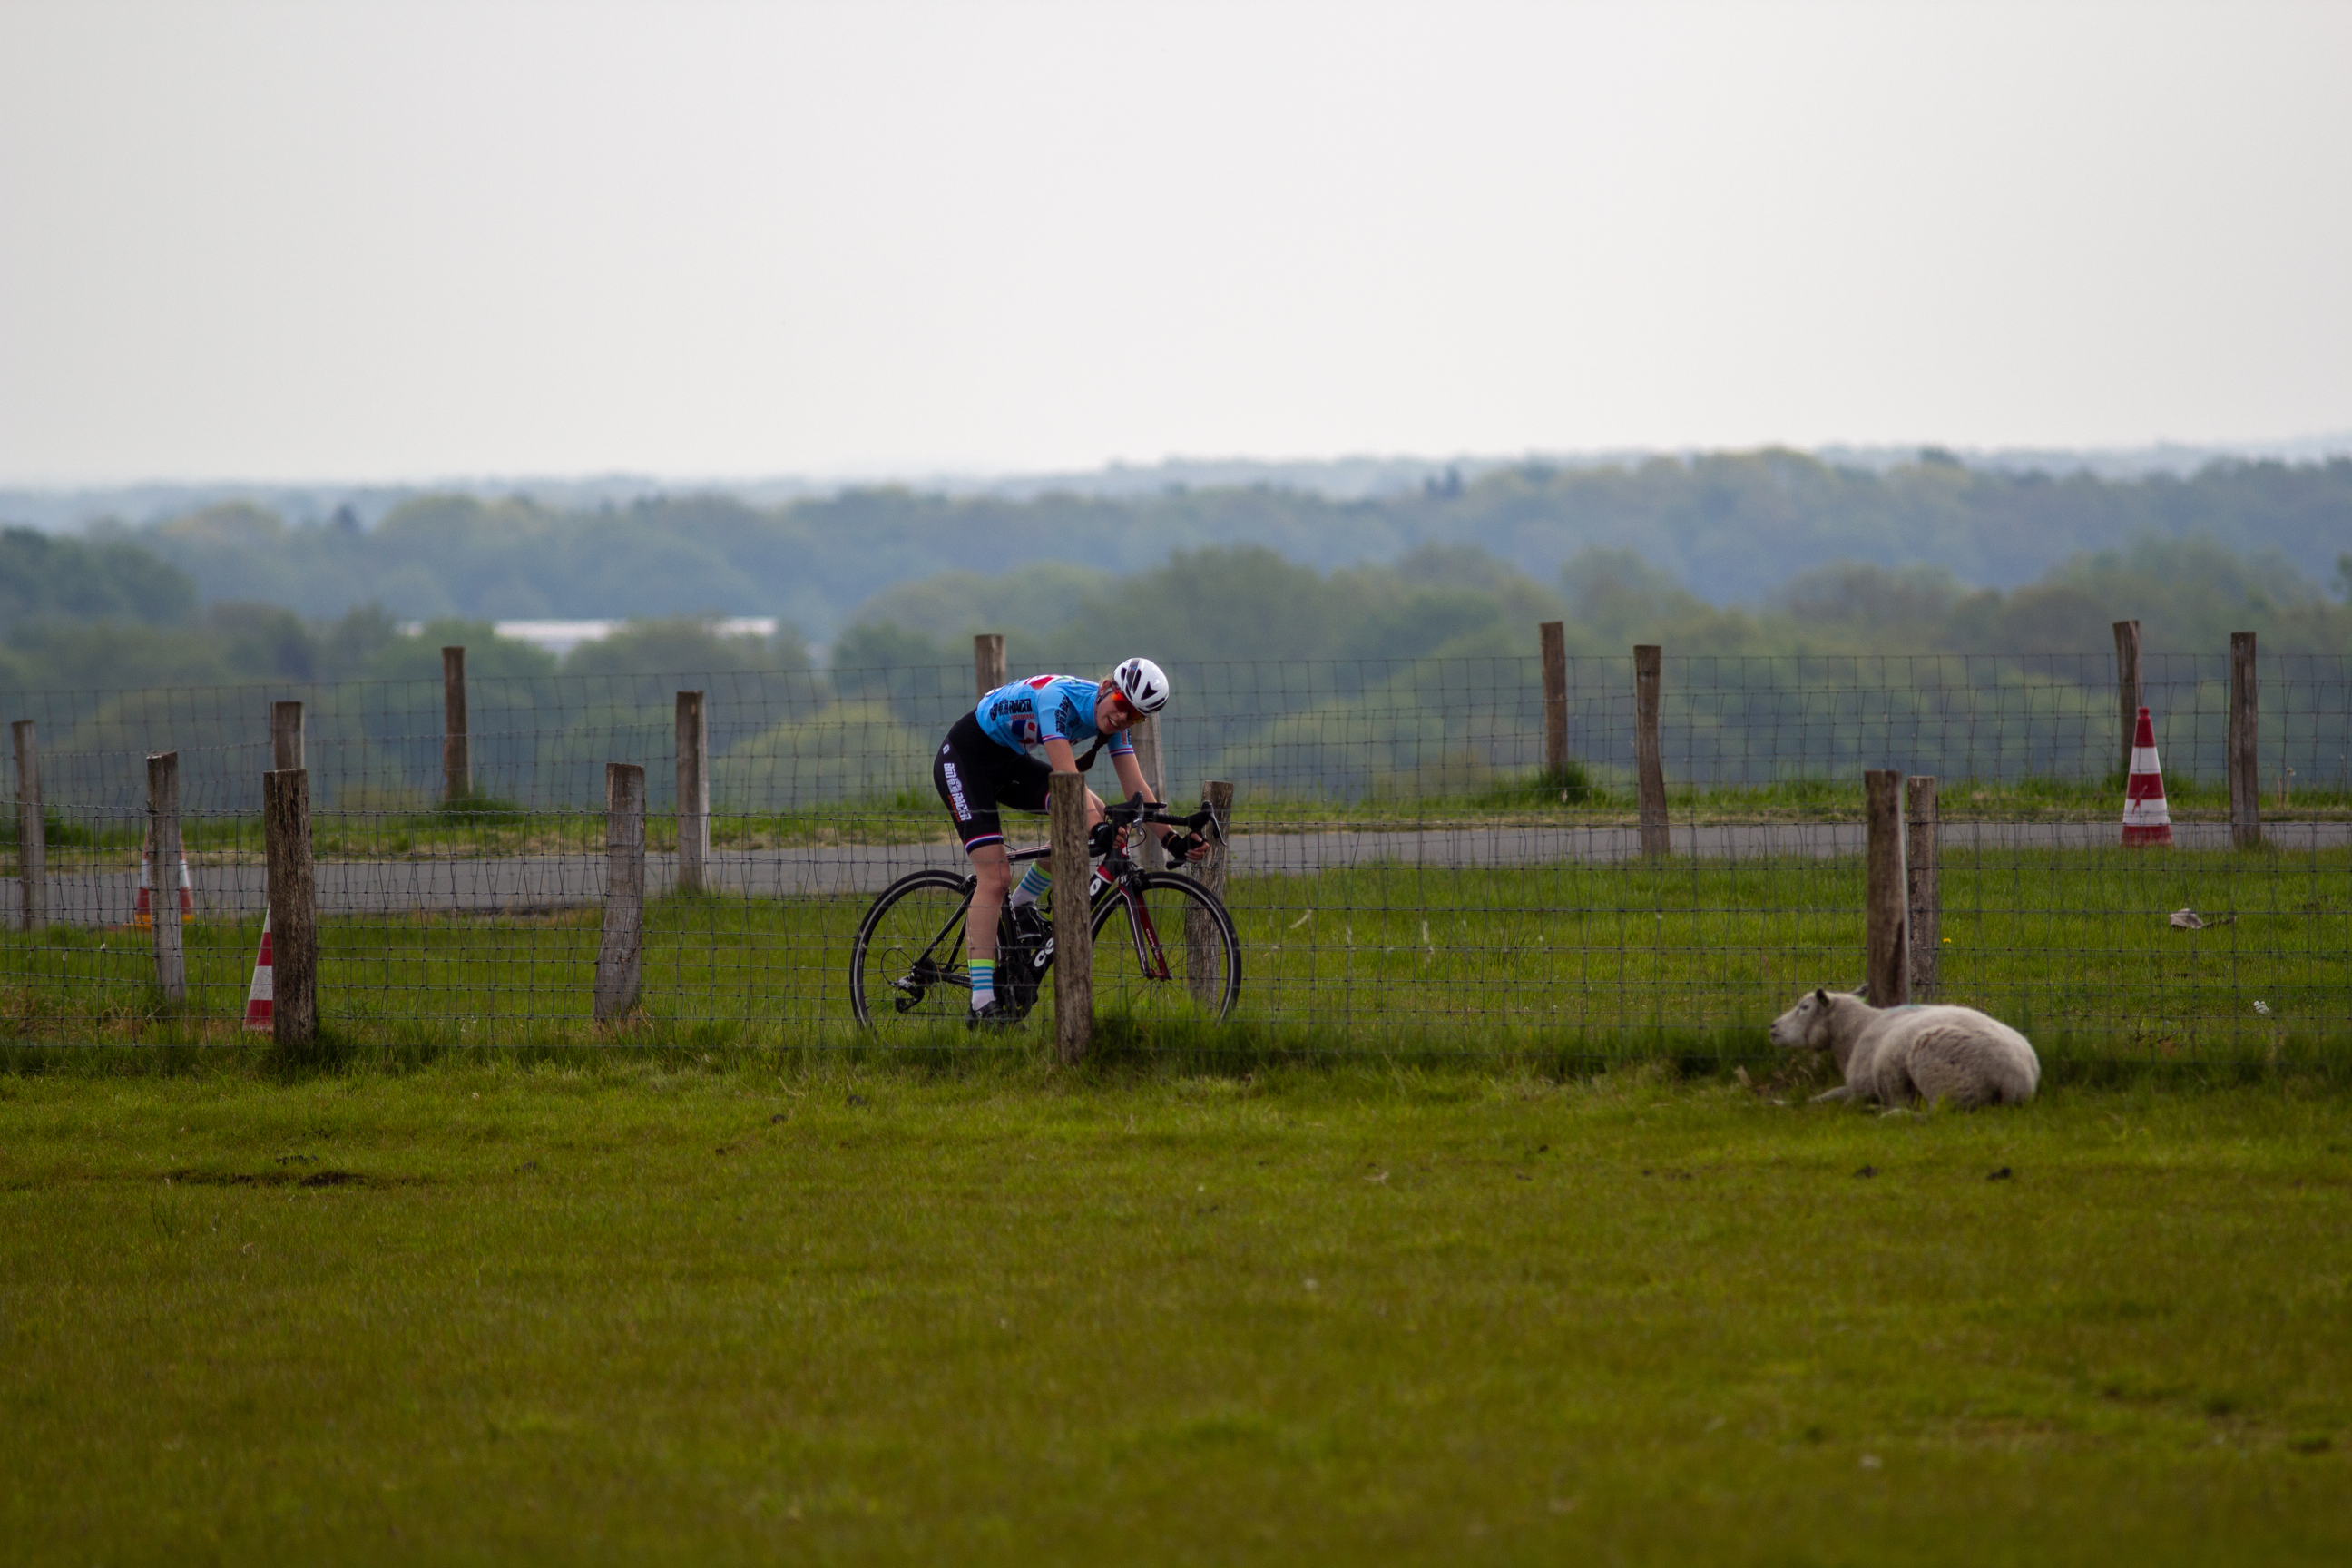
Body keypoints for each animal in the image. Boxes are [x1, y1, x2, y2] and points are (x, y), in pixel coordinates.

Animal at [1769, 987, 2032, 1109]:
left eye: (1804, 1007)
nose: (1772, 1027)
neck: (1855, 1031)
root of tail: (2016, 1079)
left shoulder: (1863, 1086)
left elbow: (1840, 1101)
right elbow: (1822, 1096)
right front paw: (1780, 1102)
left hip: (1945, 1081)